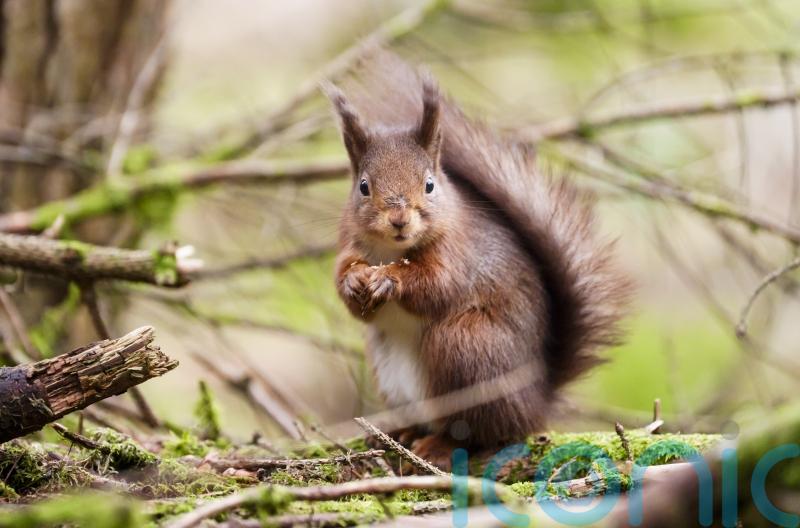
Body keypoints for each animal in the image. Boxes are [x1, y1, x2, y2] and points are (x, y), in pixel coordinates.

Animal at [325, 54, 631, 465]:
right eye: (363, 187)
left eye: (429, 184)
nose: (399, 219)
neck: (394, 250)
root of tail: (538, 398)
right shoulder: (349, 245)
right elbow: (350, 292)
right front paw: (355, 280)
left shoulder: (458, 253)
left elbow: (436, 285)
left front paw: (390, 279)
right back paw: (405, 432)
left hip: (466, 348)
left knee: (487, 432)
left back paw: (442, 445)